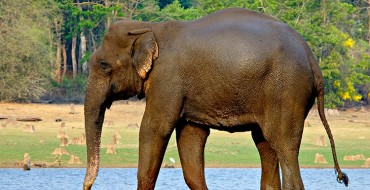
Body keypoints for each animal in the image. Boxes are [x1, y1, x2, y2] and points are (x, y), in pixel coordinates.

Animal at [82, 7, 348, 190]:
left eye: (103, 65)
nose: (87, 186)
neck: (150, 27)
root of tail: (312, 58)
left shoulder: (167, 79)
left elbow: (155, 128)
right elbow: (191, 136)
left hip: (286, 90)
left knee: (283, 145)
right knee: (265, 144)